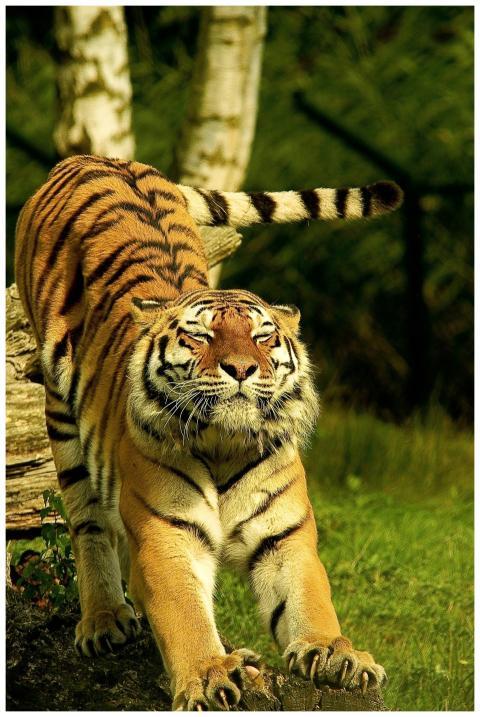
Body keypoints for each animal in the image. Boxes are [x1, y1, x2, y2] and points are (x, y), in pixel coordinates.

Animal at [15, 154, 402, 711]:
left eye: (263, 336)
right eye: (200, 336)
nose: (241, 368)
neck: (224, 444)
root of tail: (93, 158)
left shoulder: (285, 537)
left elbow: (309, 599)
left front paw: (337, 652)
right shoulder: (166, 535)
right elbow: (184, 615)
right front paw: (209, 673)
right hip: (61, 415)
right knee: (87, 523)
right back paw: (104, 621)